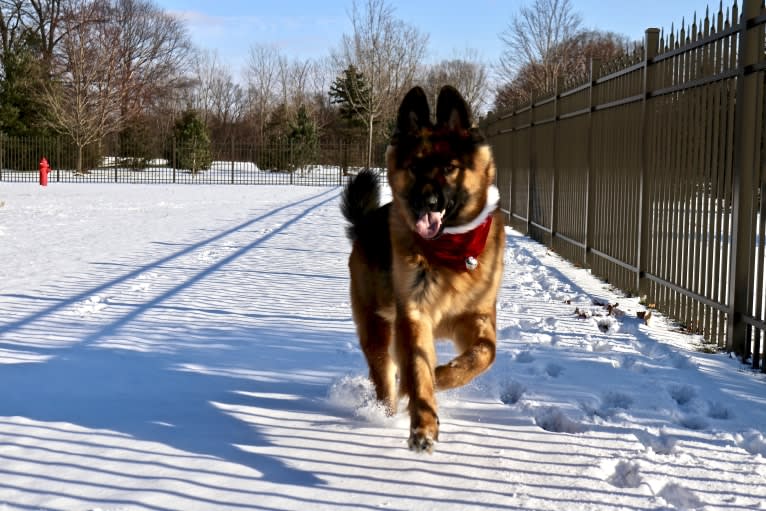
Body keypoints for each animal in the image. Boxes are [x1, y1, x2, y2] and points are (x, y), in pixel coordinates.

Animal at [344, 86, 508, 454]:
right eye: (416, 167)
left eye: (449, 167)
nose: (428, 203)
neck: (451, 249)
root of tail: (364, 225)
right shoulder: (414, 316)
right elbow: (418, 375)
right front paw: (423, 428)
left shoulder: (477, 317)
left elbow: (484, 354)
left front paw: (444, 375)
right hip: (377, 331)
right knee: (385, 379)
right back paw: (387, 414)